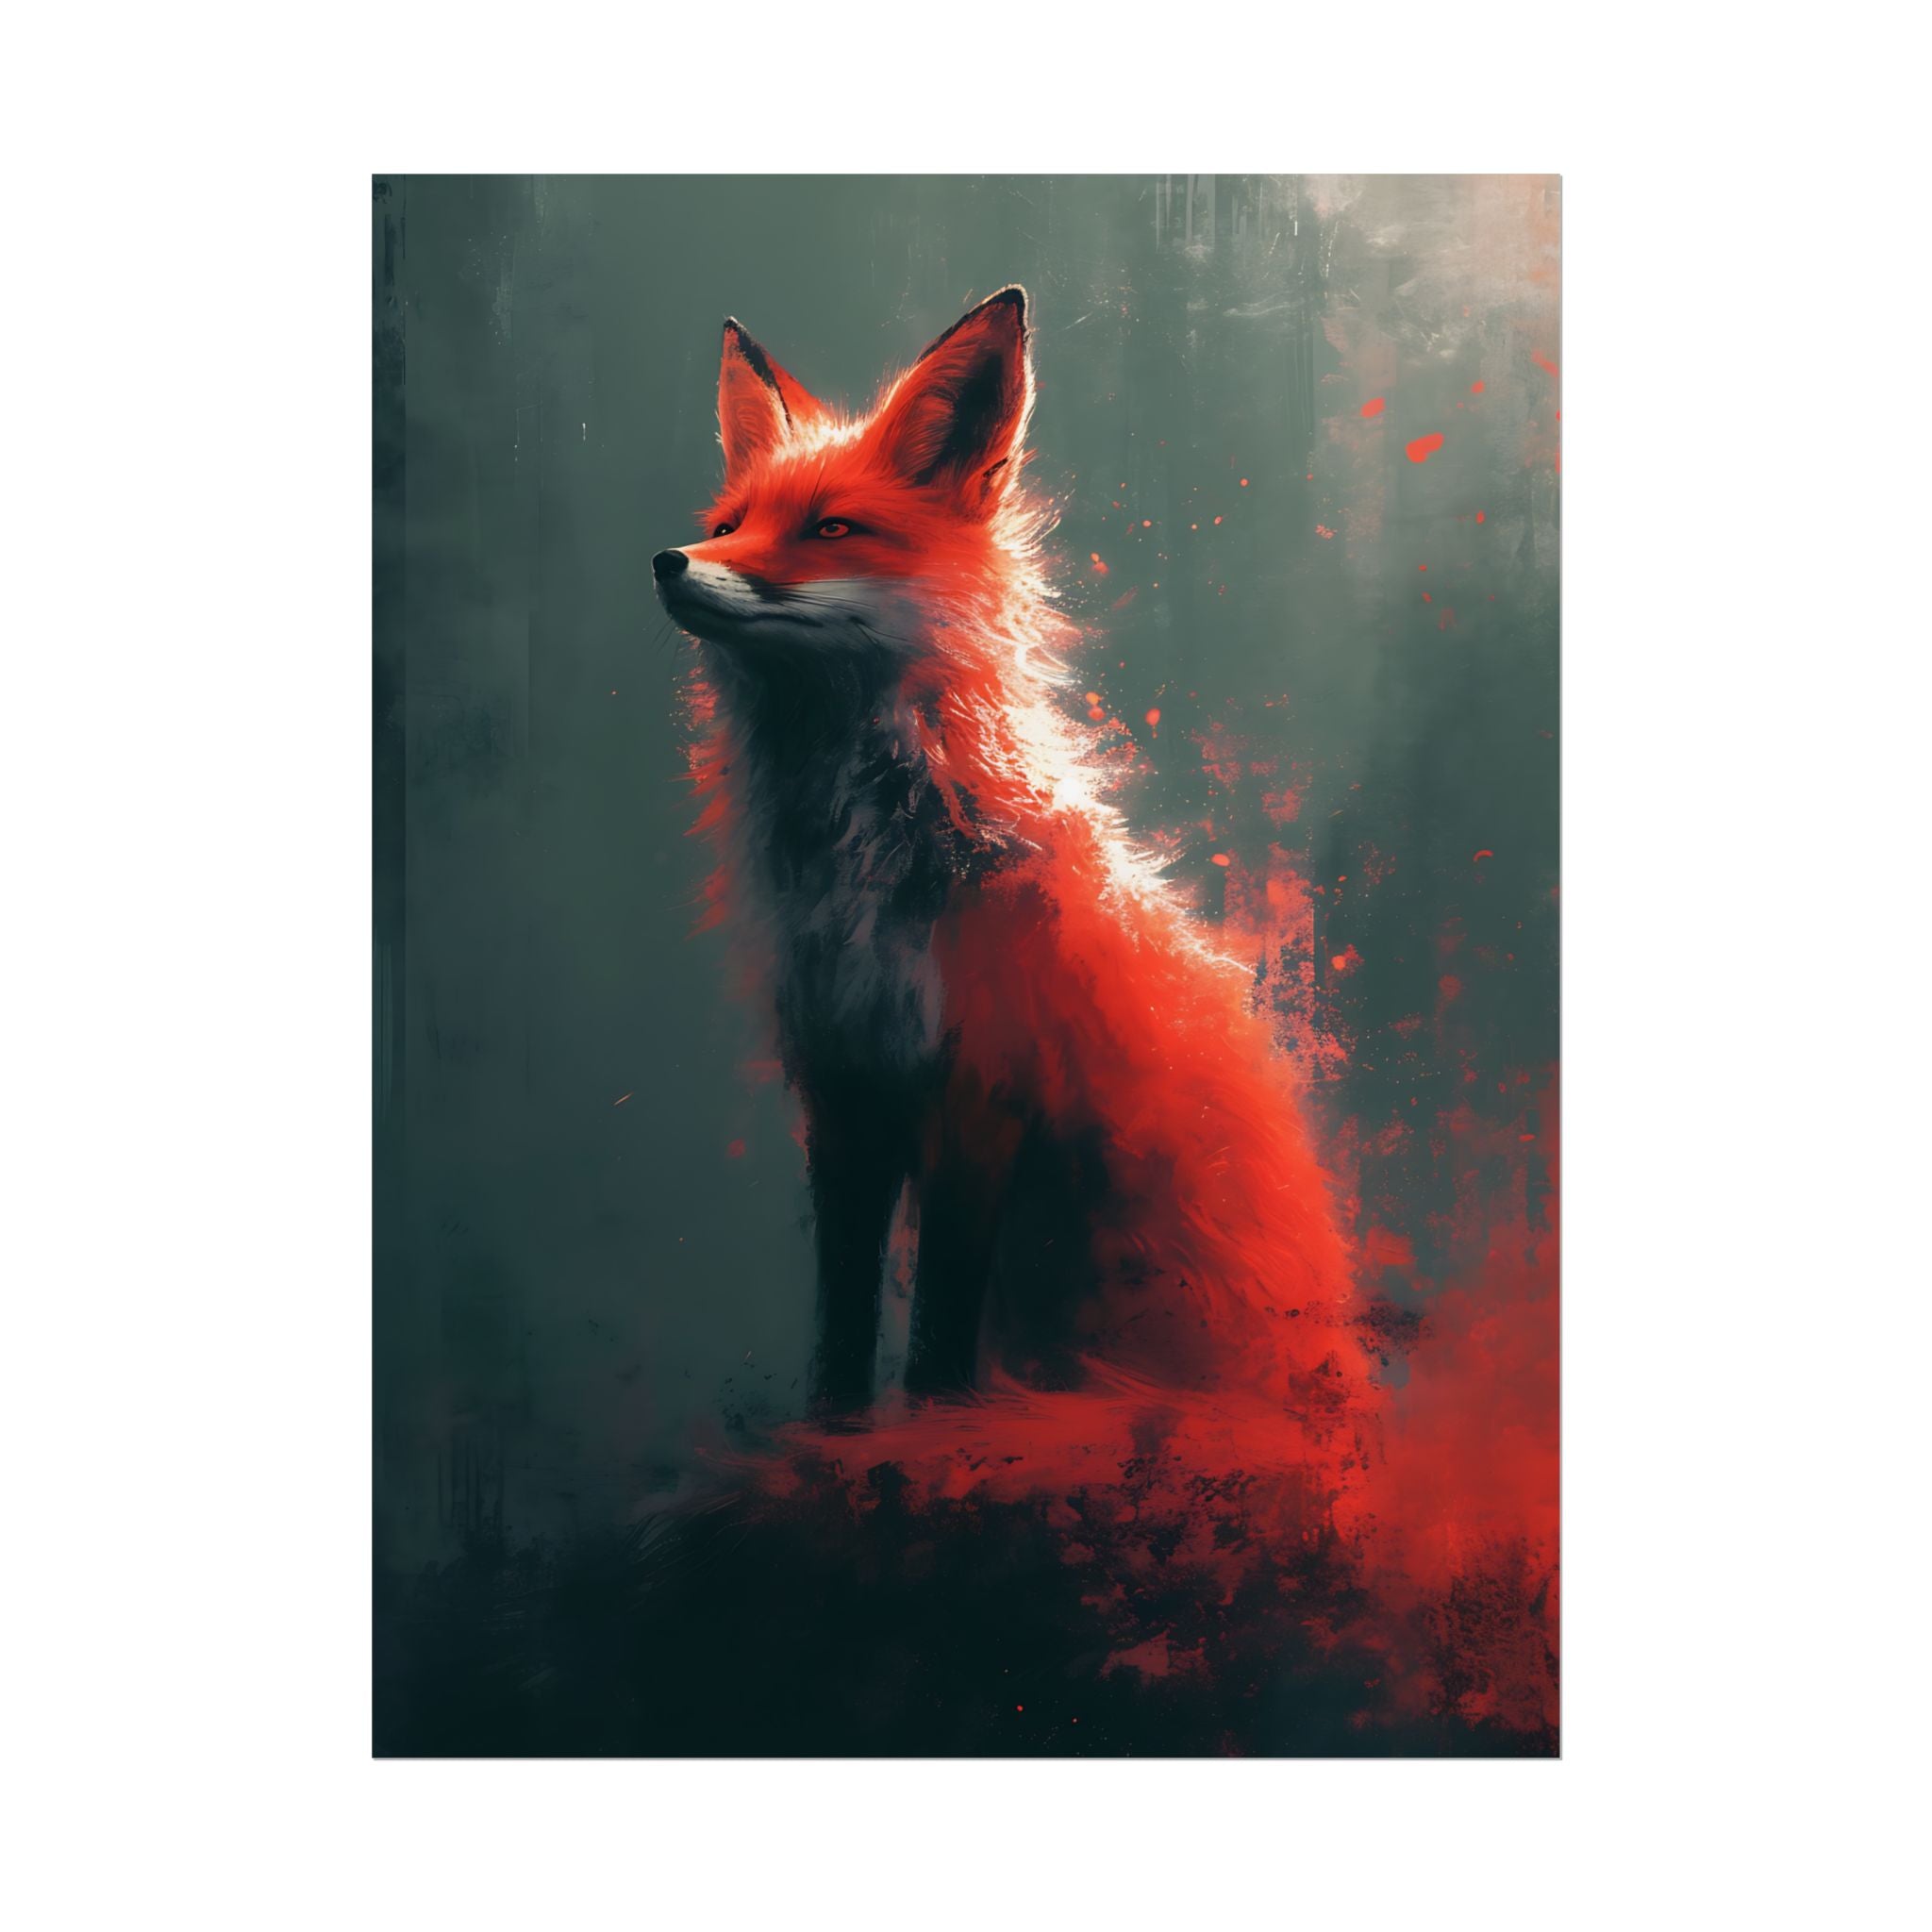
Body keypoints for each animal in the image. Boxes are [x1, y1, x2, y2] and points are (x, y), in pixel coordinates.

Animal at [653, 286, 1373, 1439]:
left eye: (830, 529)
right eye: (729, 526)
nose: (669, 561)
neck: (866, 871)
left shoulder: (981, 1088)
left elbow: (940, 1330)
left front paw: (933, 1432)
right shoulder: (843, 1088)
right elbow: (843, 1315)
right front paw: (834, 1433)